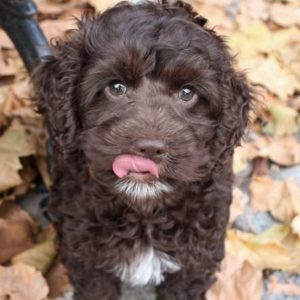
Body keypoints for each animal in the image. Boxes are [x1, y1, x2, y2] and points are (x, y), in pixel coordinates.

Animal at [32, 1, 253, 298]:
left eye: (187, 93)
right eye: (116, 87)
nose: (149, 149)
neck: (143, 212)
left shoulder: (197, 255)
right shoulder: (82, 250)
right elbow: (95, 288)